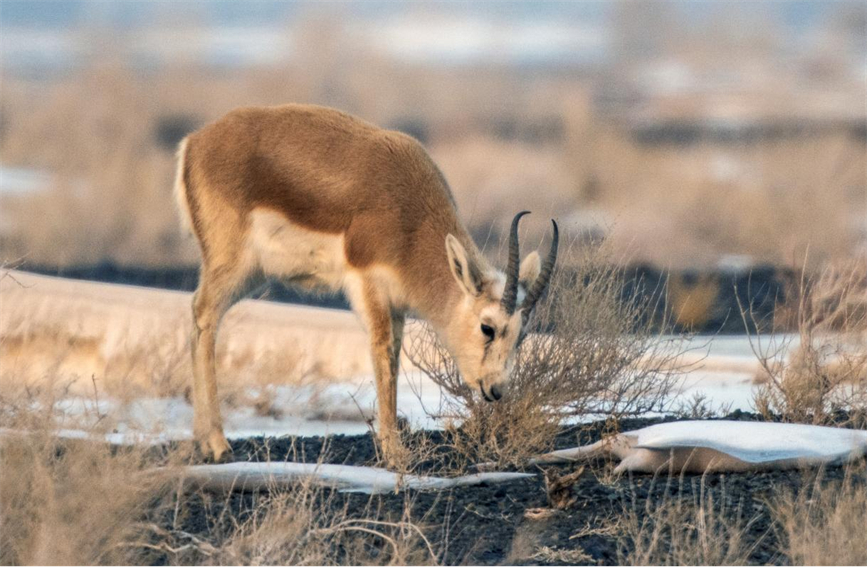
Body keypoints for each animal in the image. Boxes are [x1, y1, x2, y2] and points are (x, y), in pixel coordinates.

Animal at [174, 104, 558, 463]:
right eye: (487, 327)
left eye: (522, 335)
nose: (496, 389)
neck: (409, 219)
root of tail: (195, 141)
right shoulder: (369, 285)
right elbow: (383, 354)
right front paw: (395, 452)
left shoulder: (397, 304)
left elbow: (395, 358)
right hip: (234, 267)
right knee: (204, 315)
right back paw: (218, 445)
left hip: (250, 274)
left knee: (199, 321)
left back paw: (202, 441)